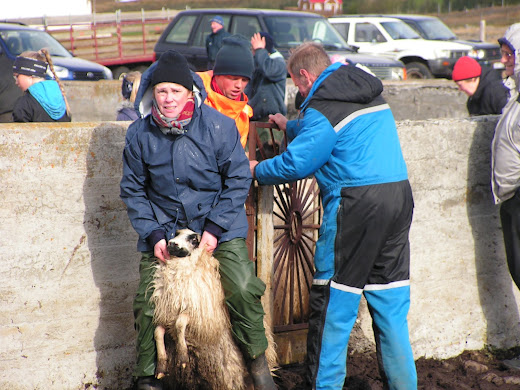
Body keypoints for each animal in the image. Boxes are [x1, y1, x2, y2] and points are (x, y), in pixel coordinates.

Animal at [150, 229, 276, 390]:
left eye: (194, 240)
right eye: (176, 233)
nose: (172, 243)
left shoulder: (199, 315)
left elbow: (180, 324)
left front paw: (183, 355)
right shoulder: (167, 317)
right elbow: (157, 333)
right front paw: (161, 366)